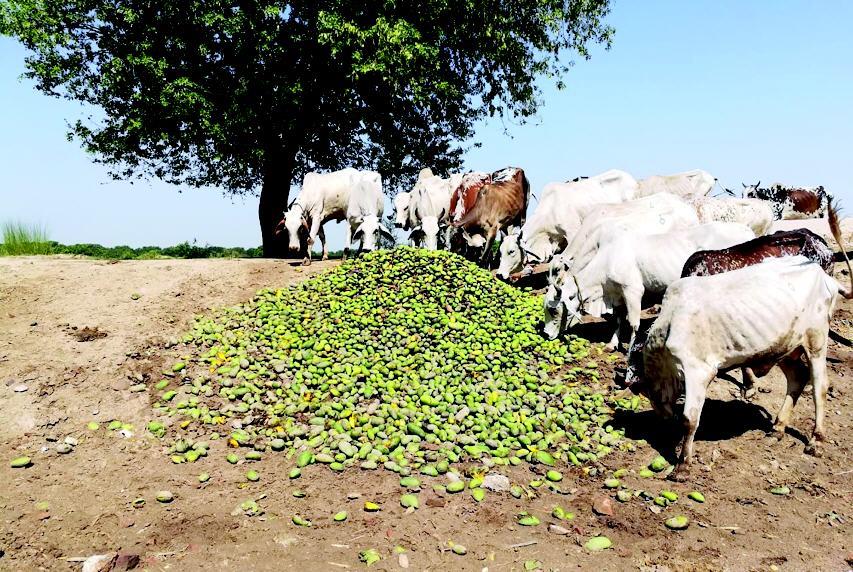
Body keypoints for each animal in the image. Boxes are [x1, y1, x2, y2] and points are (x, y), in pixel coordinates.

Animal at [497, 169, 638, 279]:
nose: (499, 274)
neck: (550, 208)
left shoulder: (572, 233)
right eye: (500, 251)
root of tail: (629, 178)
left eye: (511, 251)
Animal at [543, 222, 755, 346]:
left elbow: (633, 323)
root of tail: (747, 231)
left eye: (553, 310)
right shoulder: (618, 292)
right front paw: (612, 344)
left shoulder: (633, 290)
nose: (546, 335)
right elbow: (618, 319)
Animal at [623, 206, 852, 479]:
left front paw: (682, 465)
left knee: (819, 385)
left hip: (816, 338)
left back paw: (816, 439)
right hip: (784, 347)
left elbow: (690, 419)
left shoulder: (698, 371)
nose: (627, 382)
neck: (668, 326)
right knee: (797, 378)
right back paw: (777, 428)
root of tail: (823, 274)